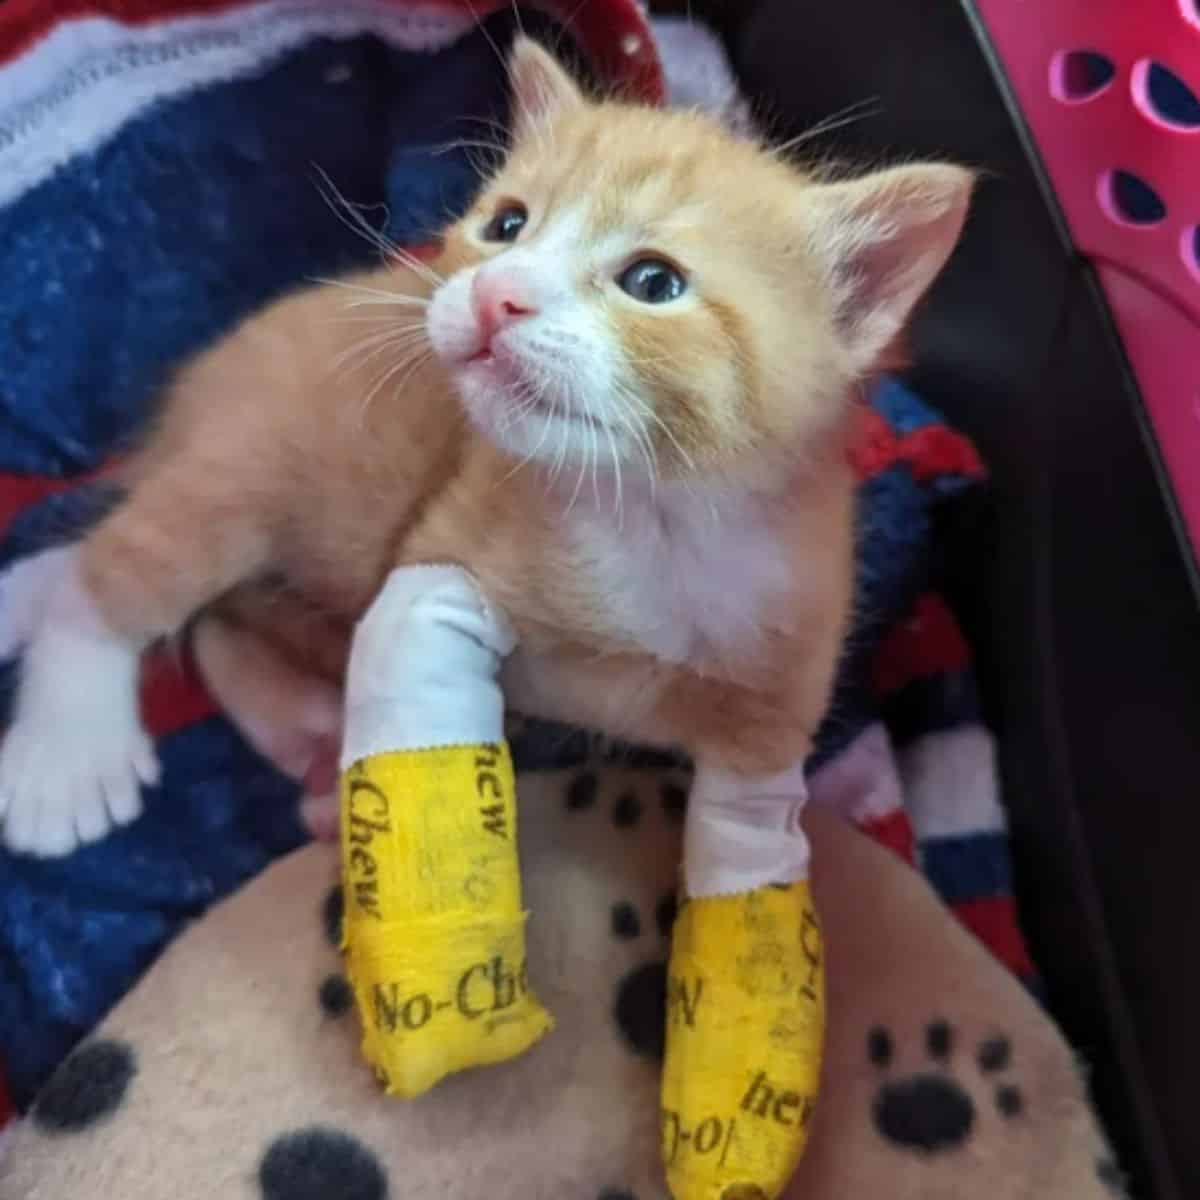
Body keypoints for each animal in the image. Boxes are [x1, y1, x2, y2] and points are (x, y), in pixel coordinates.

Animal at [0, 37, 969, 859]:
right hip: (249, 462)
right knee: (117, 568)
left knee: (207, 620)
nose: (497, 294)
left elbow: (753, 841)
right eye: (507, 226)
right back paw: (67, 757)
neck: (656, 515)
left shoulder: (779, 687)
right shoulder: (444, 553)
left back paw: (314, 749)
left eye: (653, 283)